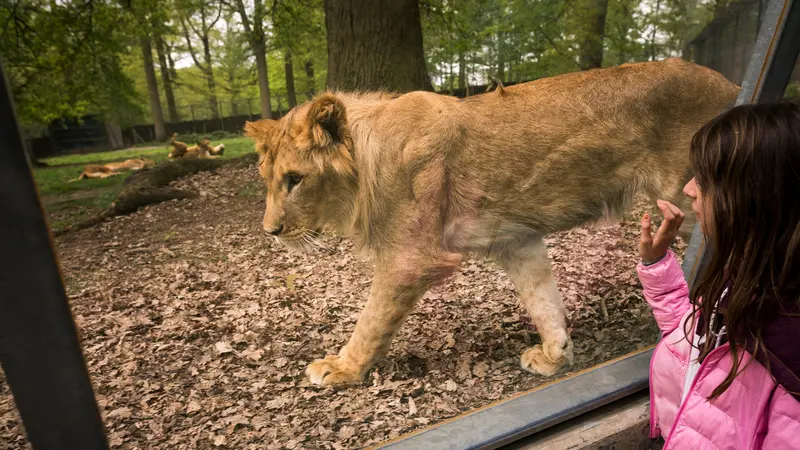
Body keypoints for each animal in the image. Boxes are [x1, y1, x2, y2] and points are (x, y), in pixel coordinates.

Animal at [242, 57, 736, 386]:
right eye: (266, 179)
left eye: (294, 179)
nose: (271, 231)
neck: (367, 161)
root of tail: (732, 85)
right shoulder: (516, 241)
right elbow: (542, 299)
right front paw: (556, 355)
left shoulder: (410, 258)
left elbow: (371, 319)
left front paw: (342, 367)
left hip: (688, 196)